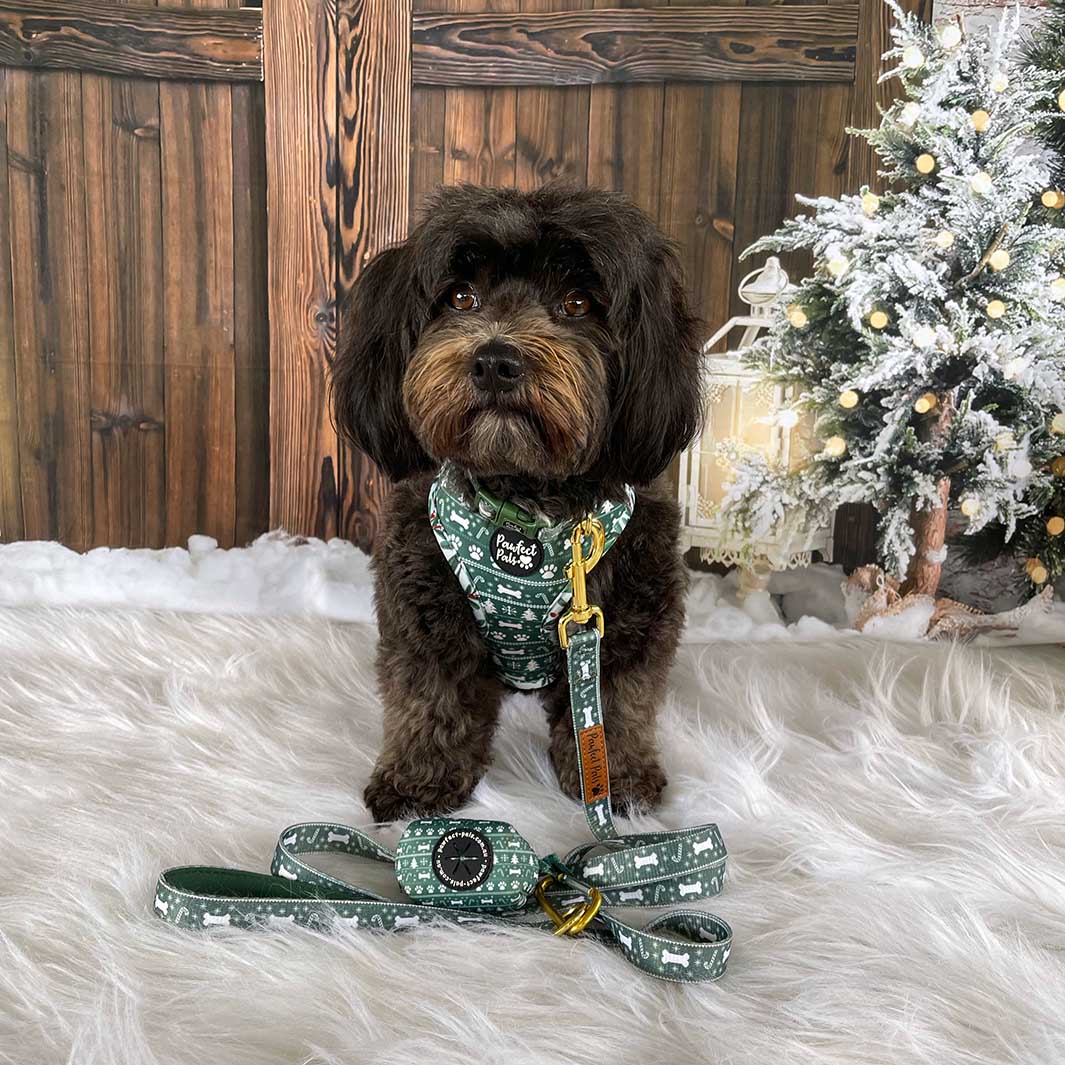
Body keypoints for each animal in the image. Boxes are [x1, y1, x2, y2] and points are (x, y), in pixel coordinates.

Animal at [328, 183, 702, 817]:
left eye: (577, 303)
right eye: (461, 297)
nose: (496, 361)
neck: (527, 505)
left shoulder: (630, 614)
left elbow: (617, 703)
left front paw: (618, 780)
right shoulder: (422, 607)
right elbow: (431, 696)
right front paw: (419, 782)